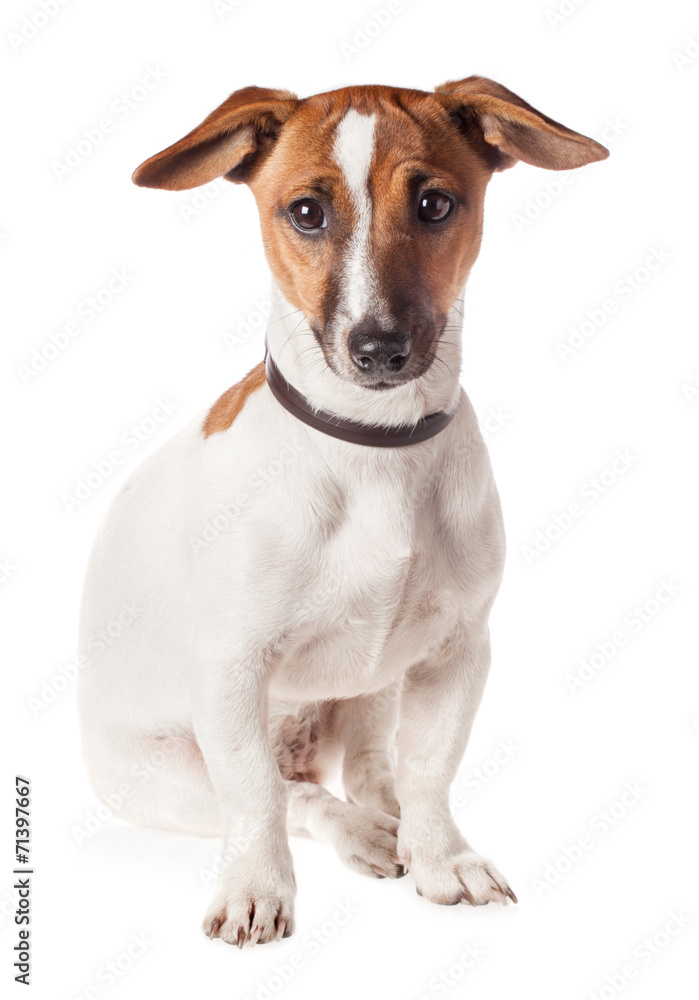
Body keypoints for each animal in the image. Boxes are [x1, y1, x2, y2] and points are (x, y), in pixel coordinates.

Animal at [76, 76, 608, 944]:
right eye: (304, 212)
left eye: (433, 204)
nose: (379, 348)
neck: (373, 448)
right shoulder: (232, 671)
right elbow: (258, 798)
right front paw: (257, 889)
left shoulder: (456, 652)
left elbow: (429, 770)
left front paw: (442, 857)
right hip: (160, 775)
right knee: (294, 795)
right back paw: (356, 833)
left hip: (376, 686)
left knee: (365, 767)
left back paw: (387, 820)